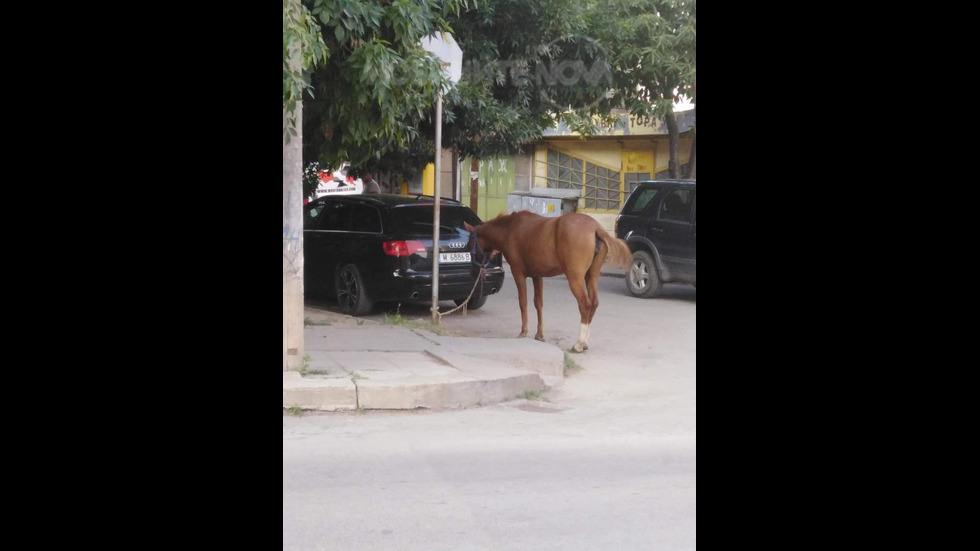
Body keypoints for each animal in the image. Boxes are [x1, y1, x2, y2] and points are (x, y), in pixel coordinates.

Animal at [464, 211, 632, 354]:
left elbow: (523, 302)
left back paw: (579, 344)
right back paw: (585, 343)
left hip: (575, 278)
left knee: (585, 305)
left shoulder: (518, 273)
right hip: (591, 277)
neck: (510, 229)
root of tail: (596, 228)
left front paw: (524, 331)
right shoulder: (537, 276)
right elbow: (538, 303)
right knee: (594, 303)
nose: (474, 270)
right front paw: (539, 334)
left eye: (470, 243)